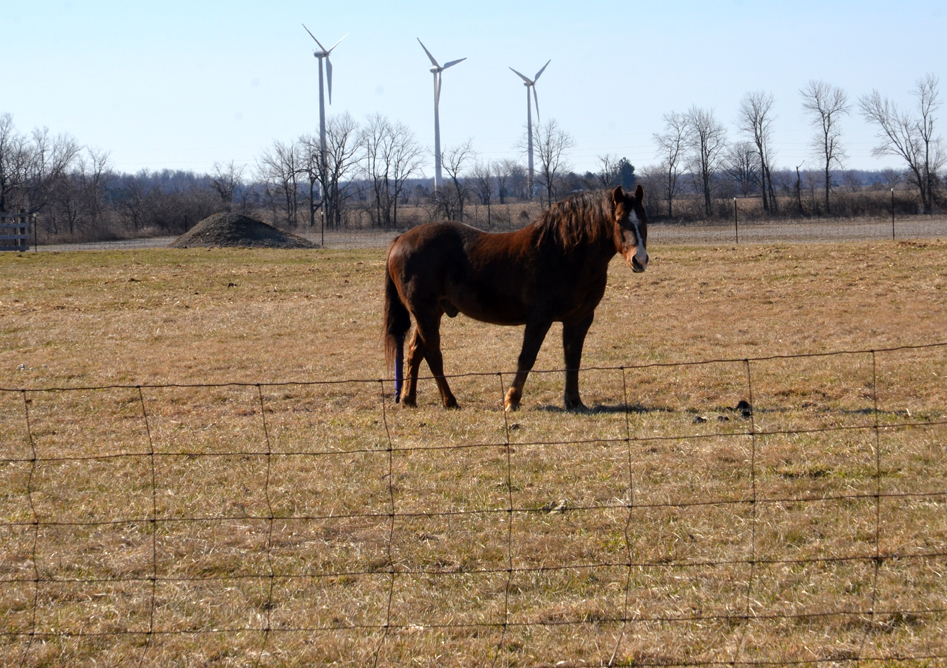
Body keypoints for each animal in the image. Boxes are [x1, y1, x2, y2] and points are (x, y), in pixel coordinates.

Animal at [384, 185, 649, 411]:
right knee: (433, 354)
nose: (640, 260)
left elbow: (573, 358)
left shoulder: (579, 319)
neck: (565, 252)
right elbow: (527, 357)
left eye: (644, 220)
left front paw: (573, 401)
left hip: (430, 313)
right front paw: (512, 400)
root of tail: (400, 240)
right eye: (618, 220)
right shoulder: (540, 318)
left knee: (415, 351)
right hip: (425, 312)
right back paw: (450, 401)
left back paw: (408, 399)